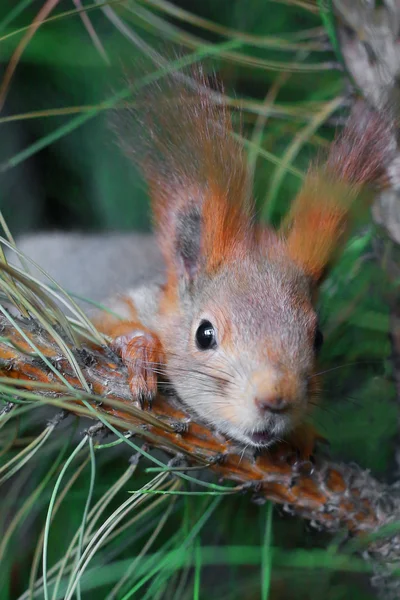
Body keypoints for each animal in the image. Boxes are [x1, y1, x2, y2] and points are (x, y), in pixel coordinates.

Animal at [11, 69, 394, 454]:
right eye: (204, 334)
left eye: (318, 338)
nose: (275, 400)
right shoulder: (107, 307)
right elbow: (91, 328)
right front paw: (139, 349)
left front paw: (303, 434)